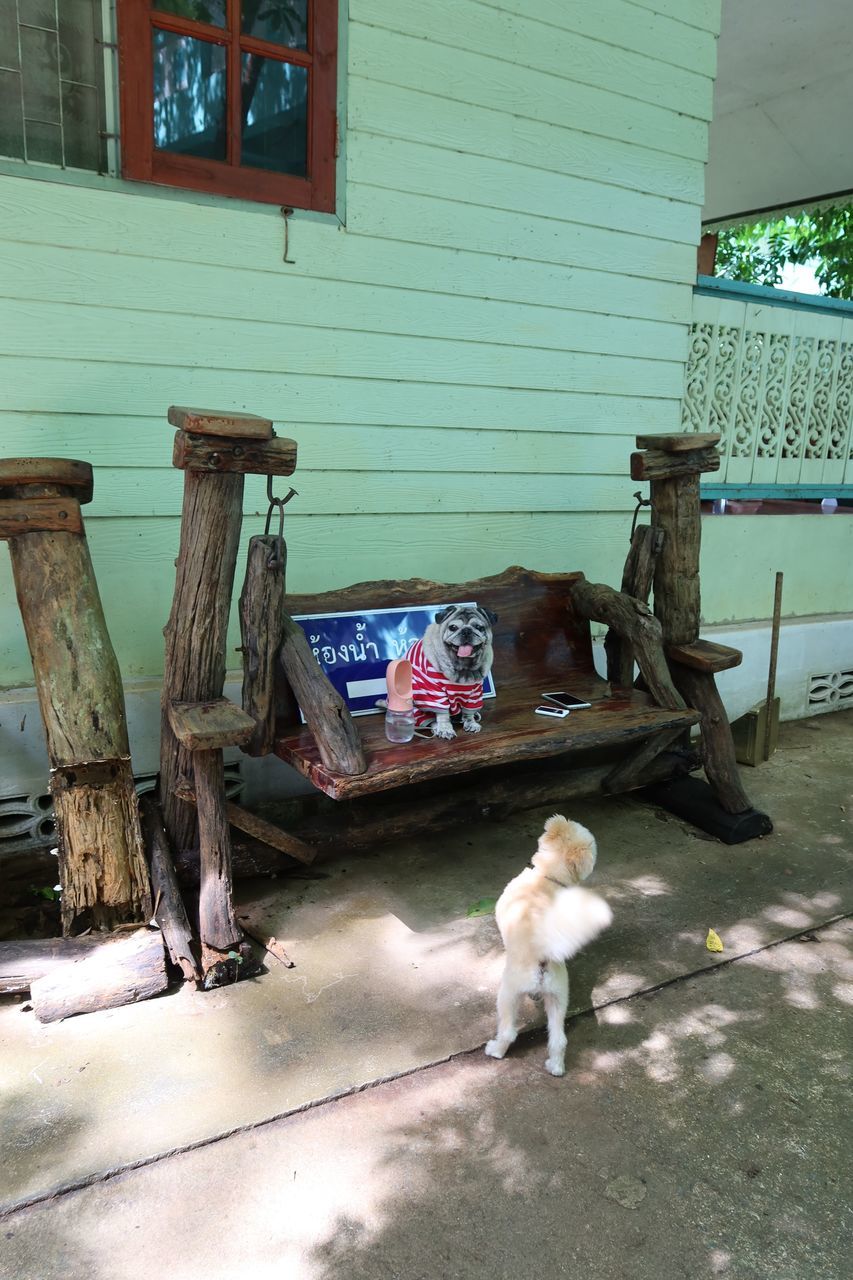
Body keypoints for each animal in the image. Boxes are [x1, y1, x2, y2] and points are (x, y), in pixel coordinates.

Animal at [407, 606, 494, 742]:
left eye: (479, 627)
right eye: (453, 627)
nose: (466, 631)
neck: (464, 667)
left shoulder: (475, 693)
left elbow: (469, 712)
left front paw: (471, 722)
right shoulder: (435, 694)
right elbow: (442, 715)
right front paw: (445, 729)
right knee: (430, 719)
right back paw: (436, 728)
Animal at [484, 814, 612, 1075]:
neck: (548, 877)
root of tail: (542, 955)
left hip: (509, 993)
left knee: (509, 1031)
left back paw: (496, 1050)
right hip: (558, 997)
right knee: (559, 1039)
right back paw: (556, 1067)